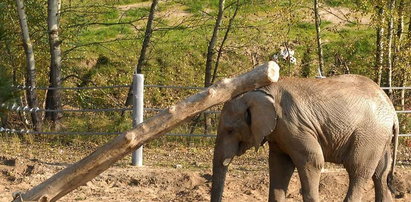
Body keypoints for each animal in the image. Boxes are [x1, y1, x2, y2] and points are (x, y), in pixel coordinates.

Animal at [212, 74, 400, 202]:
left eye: (230, 130)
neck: (260, 91)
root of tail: (392, 111)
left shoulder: (294, 125)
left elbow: (312, 161)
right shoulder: (279, 132)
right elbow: (279, 164)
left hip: (370, 135)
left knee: (358, 171)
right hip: (380, 139)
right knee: (380, 174)